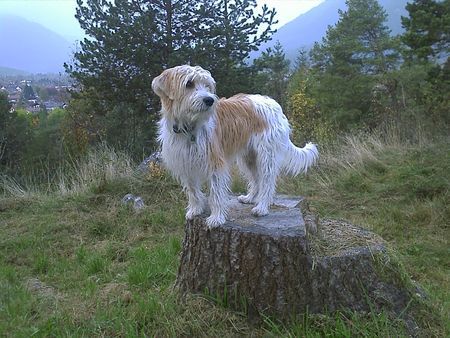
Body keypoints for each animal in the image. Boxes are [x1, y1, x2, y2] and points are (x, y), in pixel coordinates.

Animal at [153, 64, 318, 227]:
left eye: (207, 86)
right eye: (189, 84)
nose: (209, 100)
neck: (188, 127)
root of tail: (275, 105)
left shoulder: (215, 163)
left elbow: (216, 193)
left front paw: (217, 218)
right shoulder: (185, 163)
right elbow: (192, 191)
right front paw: (195, 210)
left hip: (267, 156)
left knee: (267, 182)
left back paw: (262, 207)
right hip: (249, 157)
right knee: (256, 179)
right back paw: (250, 198)